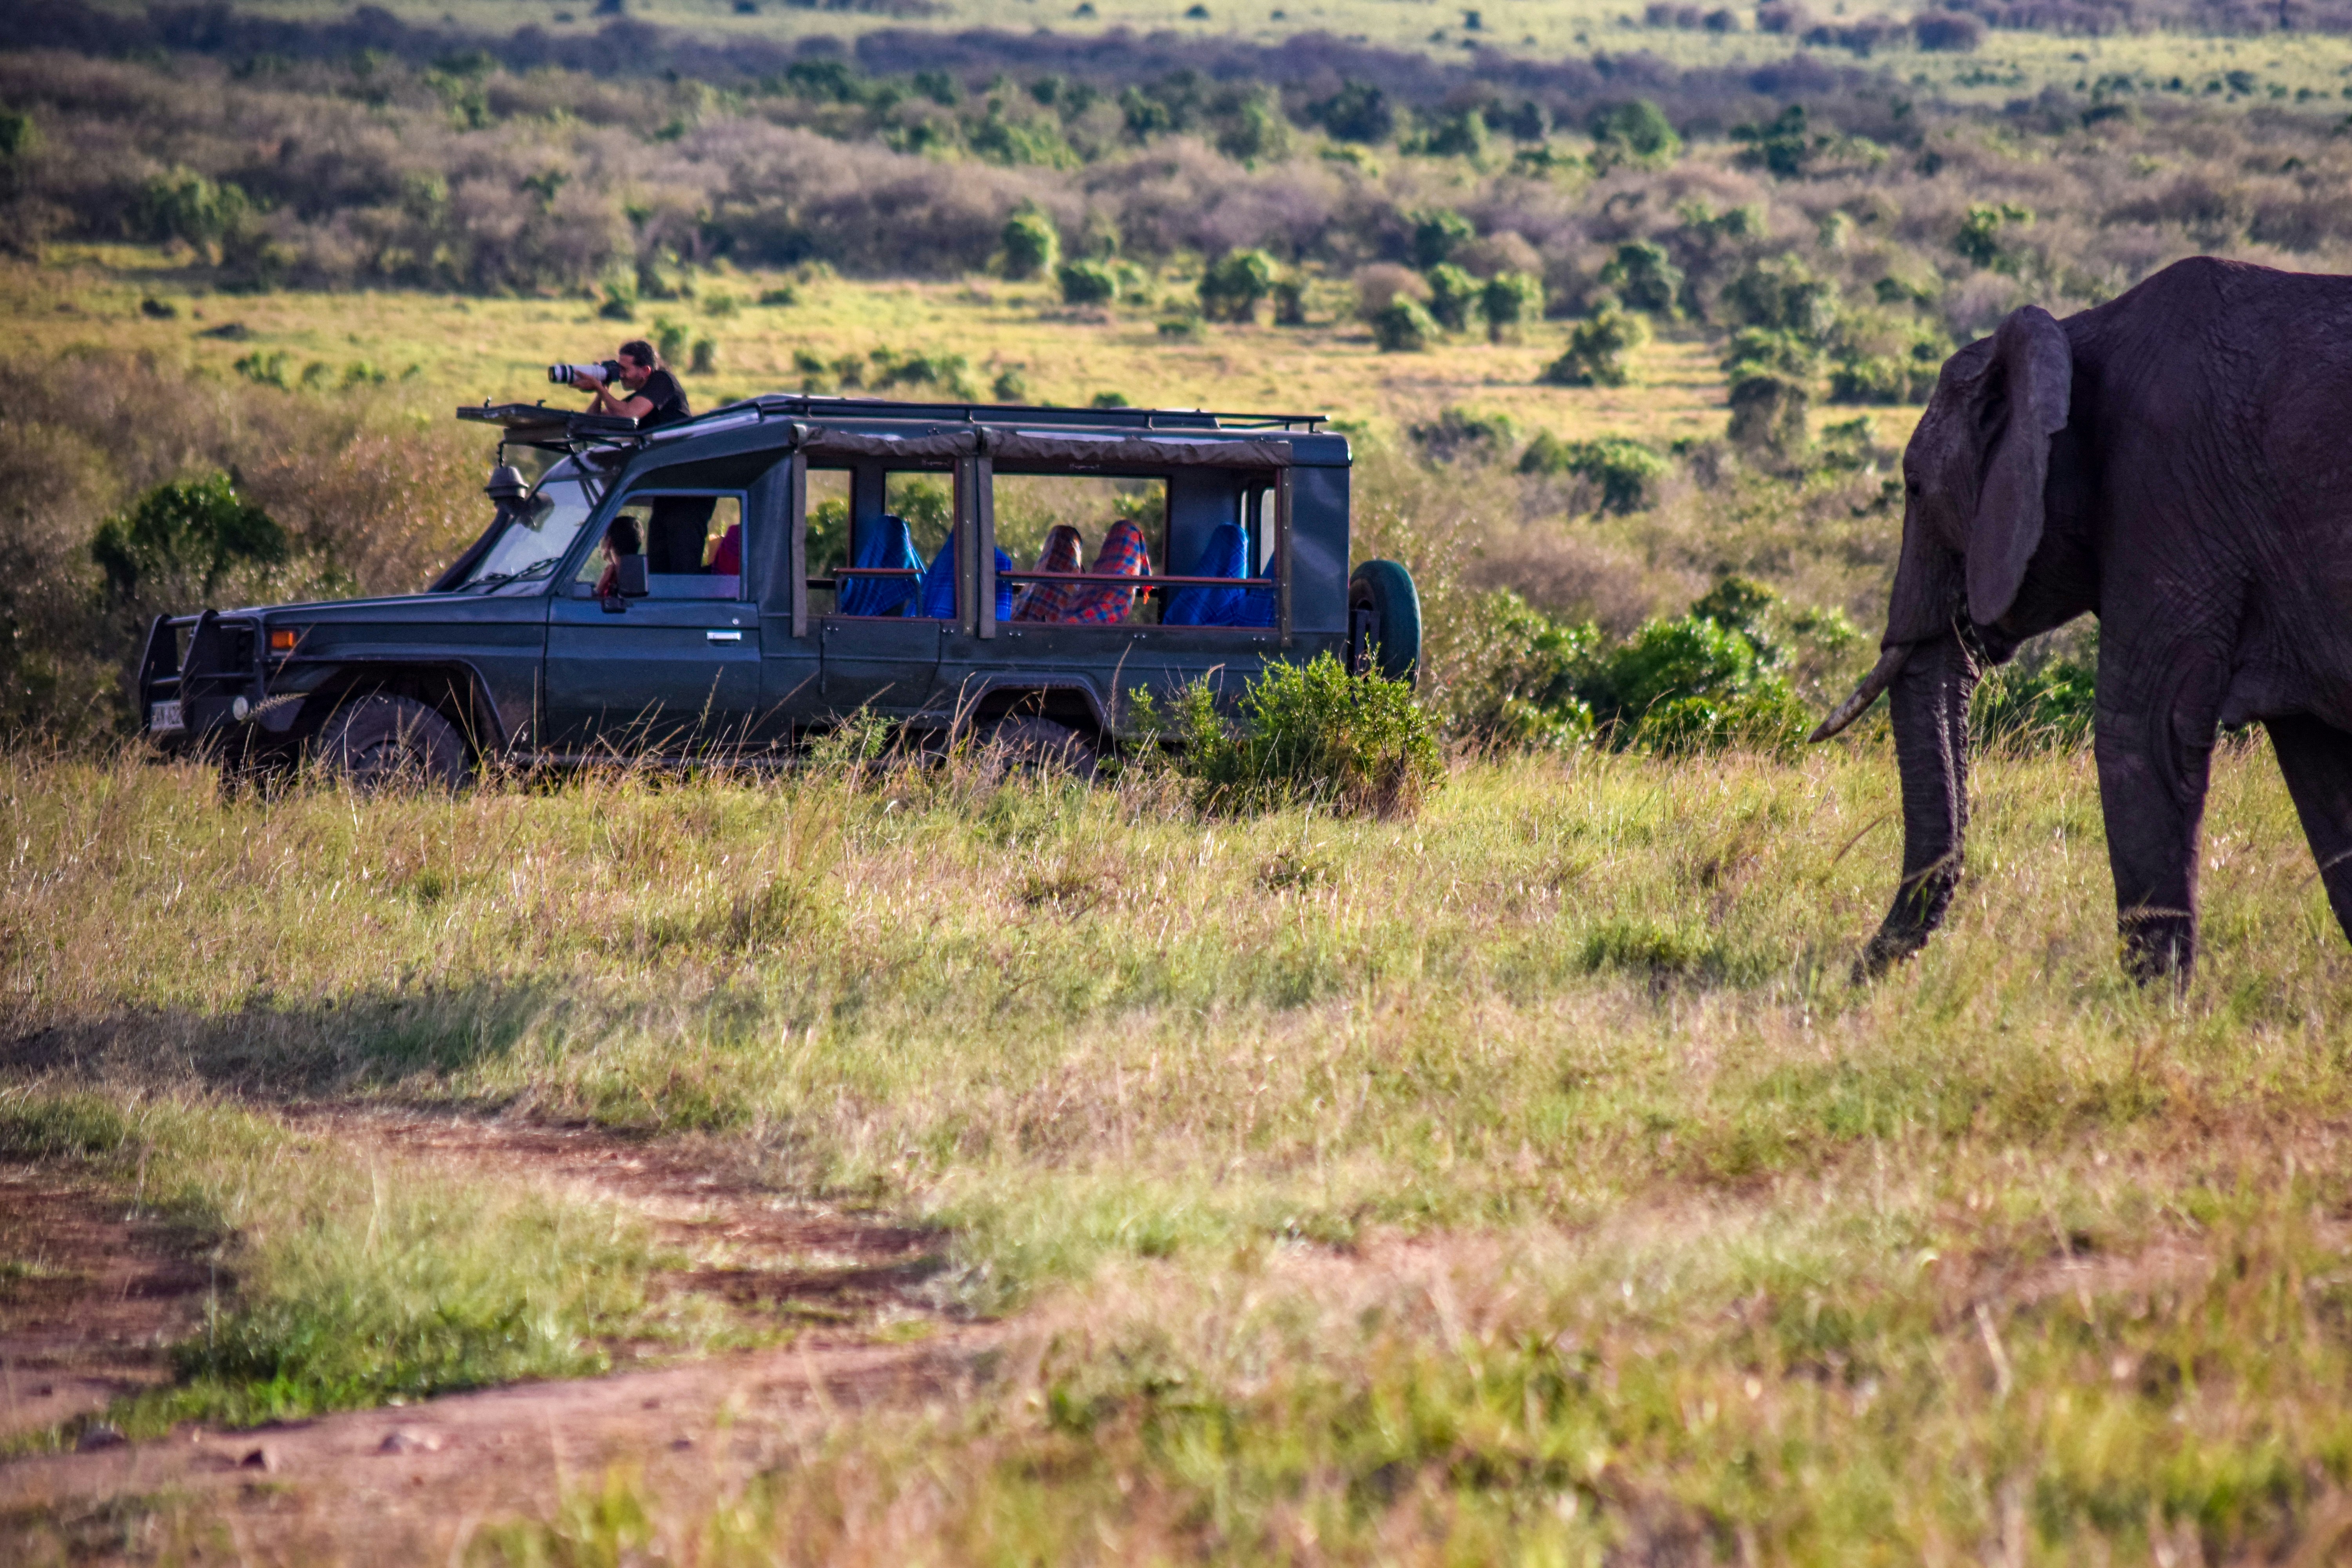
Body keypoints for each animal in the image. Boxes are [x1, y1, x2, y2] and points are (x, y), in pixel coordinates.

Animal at [1815, 256, 2352, 981]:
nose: (1845, 976)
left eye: (1915, 488)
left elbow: (2143, 731)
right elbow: (2324, 777)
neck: (2074, 337)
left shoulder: (2167, 497)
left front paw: (2148, 1007)